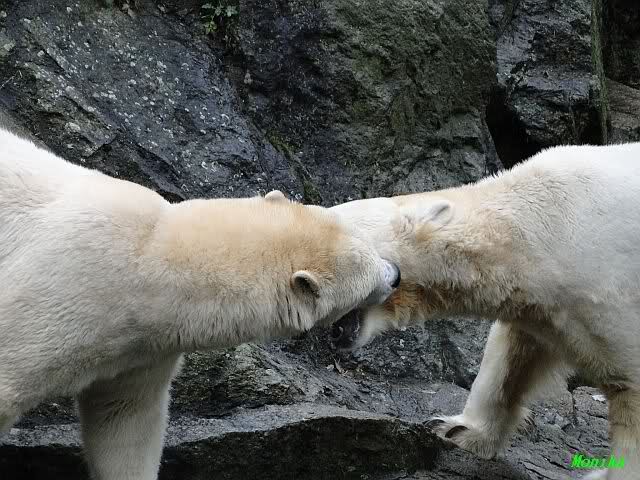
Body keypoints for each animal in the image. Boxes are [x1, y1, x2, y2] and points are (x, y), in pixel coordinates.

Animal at [0, 128, 400, 480]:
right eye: (368, 270)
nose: (395, 274)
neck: (150, 257)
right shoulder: (61, 294)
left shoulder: (140, 347)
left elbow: (125, 422)